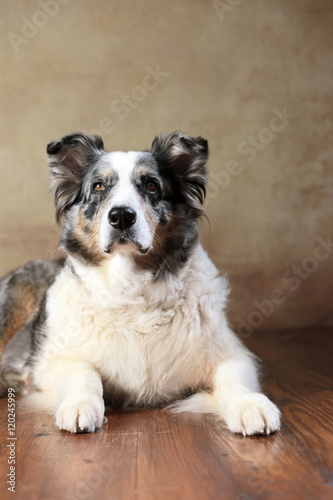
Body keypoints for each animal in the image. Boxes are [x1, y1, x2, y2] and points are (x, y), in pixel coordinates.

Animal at [0, 132, 280, 434]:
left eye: (151, 185)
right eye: (99, 186)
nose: (121, 216)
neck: (132, 288)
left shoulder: (230, 352)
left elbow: (233, 376)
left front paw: (250, 405)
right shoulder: (50, 360)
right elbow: (84, 372)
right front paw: (80, 405)